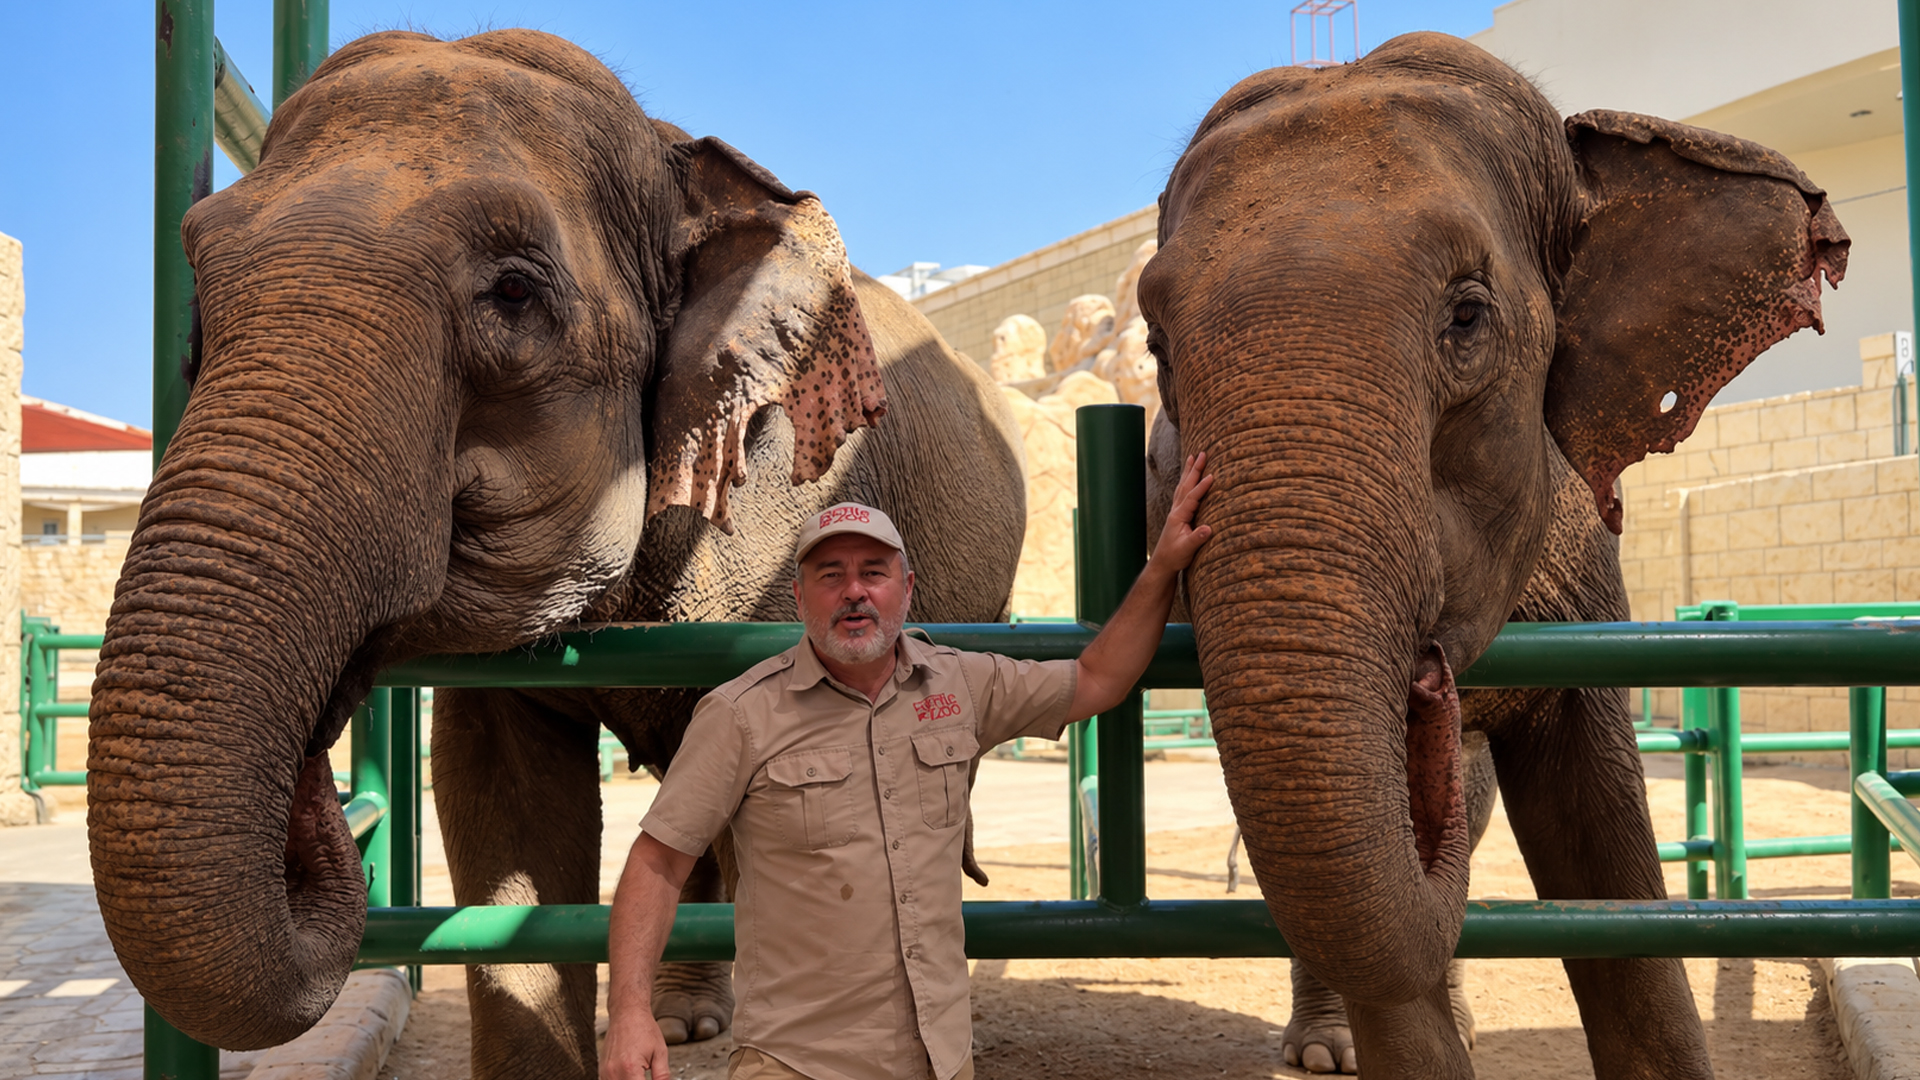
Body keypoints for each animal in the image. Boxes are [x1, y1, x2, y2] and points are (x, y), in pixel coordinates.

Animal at [85, 28, 1028, 1080]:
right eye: (198, 311)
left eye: (514, 291)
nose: (313, 803)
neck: (673, 157)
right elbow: (502, 806)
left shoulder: (786, 510)